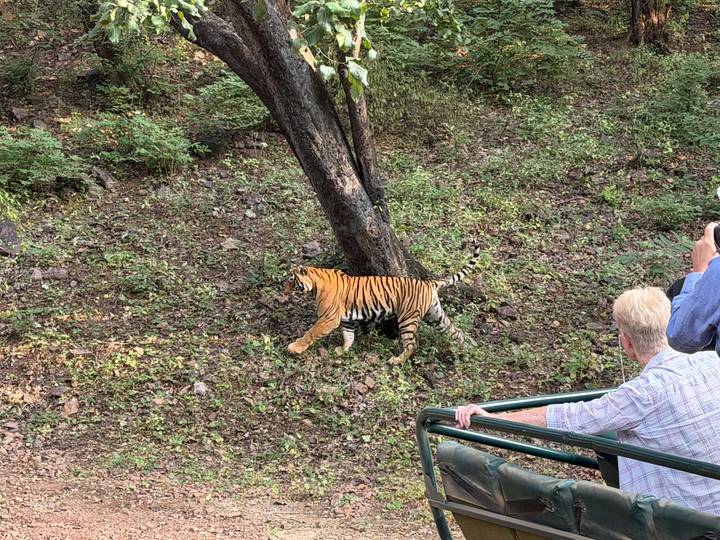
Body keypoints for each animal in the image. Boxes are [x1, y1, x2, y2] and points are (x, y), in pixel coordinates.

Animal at [283, 243, 482, 363]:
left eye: (291, 281)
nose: (284, 293)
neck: (317, 282)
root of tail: (429, 283)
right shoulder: (346, 319)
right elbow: (348, 336)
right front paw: (343, 350)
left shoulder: (327, 319)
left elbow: (310, 333)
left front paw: (294, 348)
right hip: (435, 315)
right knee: (455, 331)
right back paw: (468, 348)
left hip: (408, 318)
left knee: (412, 344)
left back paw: (396, 361)